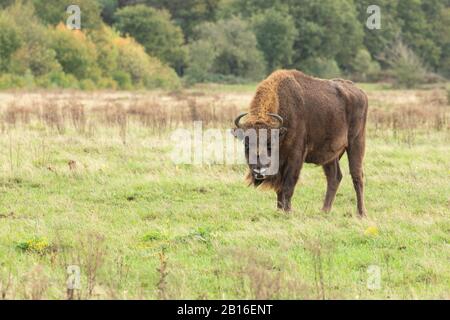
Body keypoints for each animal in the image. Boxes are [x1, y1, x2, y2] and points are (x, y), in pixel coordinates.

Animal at [234, 69, 368, 216]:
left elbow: (288, 186)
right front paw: (279, 210)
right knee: (334, 176)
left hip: (356, 143)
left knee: (357, 176)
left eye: (270, 143)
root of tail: (360, 92)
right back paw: (324, 210)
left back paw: (361, 213)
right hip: (331, 155)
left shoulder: (295, 157)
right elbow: (279, 189)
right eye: (246, 144)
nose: (259, 170)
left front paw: (287, 211)